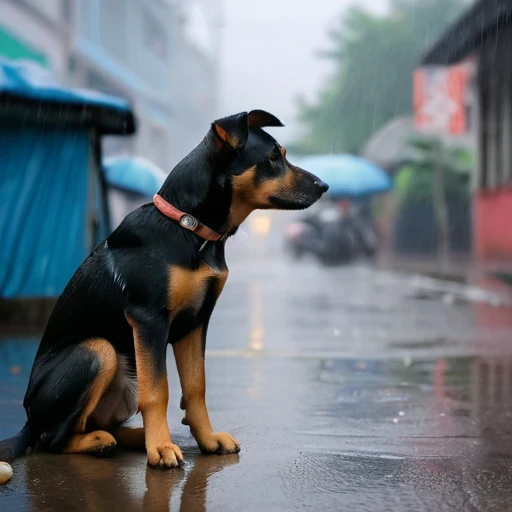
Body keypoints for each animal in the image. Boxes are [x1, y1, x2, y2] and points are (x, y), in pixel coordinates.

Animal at [0, 111, 328, 468]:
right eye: (272, 158)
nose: (324, 187)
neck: (191, 228)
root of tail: (28, 422)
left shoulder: (196, 322)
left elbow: (196, 387)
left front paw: (206, 439)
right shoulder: (149, 319)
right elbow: (158, 391)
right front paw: (159, 448)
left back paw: (131, 437)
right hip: (98, 351)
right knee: (51, 440)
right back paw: (105, 441)